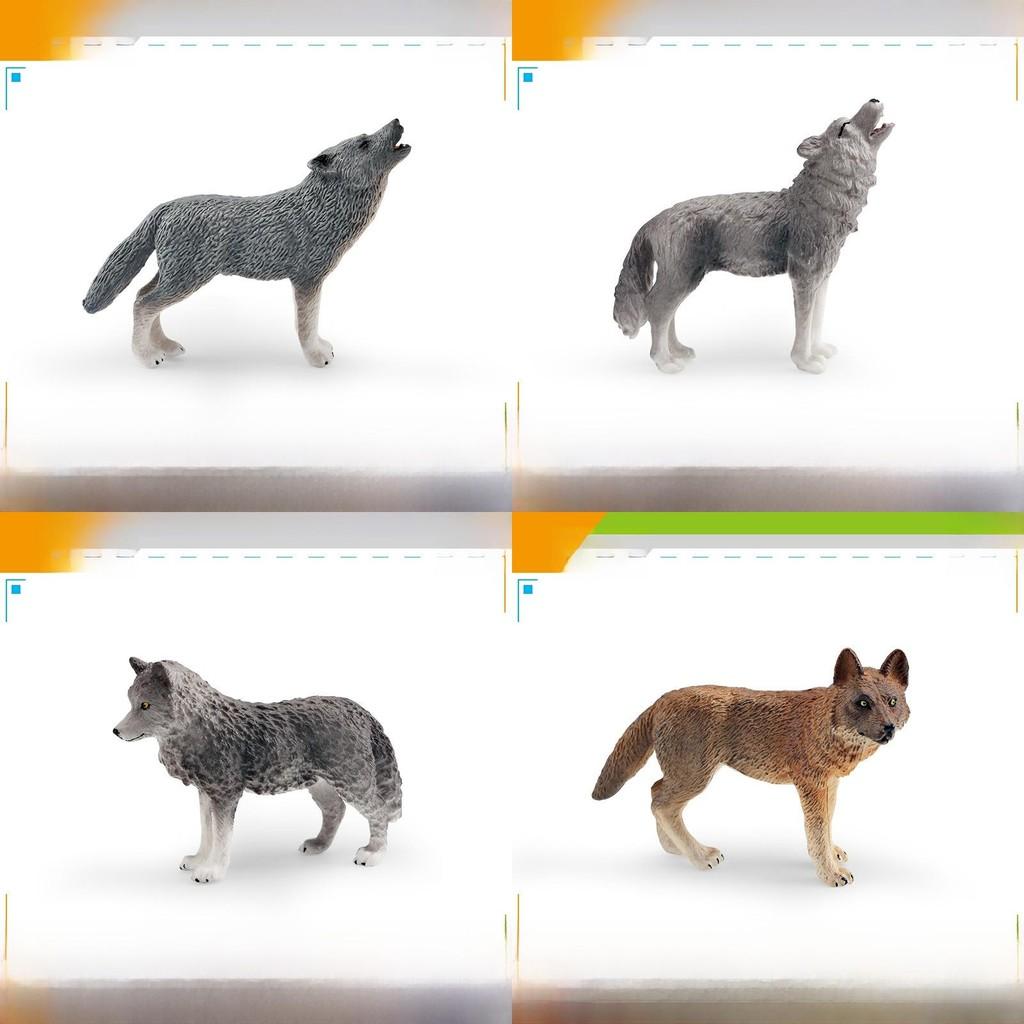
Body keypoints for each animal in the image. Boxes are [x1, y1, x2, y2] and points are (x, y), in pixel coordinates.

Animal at [83, 120, 411, 368]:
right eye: (364, 143)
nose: (396, 120)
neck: (322, 208)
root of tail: (166, 206)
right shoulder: (307, 280)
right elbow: (307, 324)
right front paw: (316, 356)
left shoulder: (309, 281)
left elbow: (309, 323)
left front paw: (320, 348)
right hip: (185, 279)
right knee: (142, 304)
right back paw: (147, 356)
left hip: (173, 276)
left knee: (143, 297)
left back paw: (165, 346)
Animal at [113, 657, 402, 883]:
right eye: (131, 702)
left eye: (145, 705)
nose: (115, 731)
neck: (203, 726)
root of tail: (359, 710)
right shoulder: (206, 794)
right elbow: (207, 833)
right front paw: (199, 859)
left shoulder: (226, 796)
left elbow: (222, 838)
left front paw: (213, 871)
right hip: (321, 784)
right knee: (336, 809)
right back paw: (319, 845)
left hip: (352, 783)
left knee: (378, 810)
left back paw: (374, 853)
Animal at [592, 648, 909, 886]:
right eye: (863, 703)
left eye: (892, 702)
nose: (889, 728)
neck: (826, 725)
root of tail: (662, 699)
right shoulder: (812, 785)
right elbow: (817, 830)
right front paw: (830, 873)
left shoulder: (830, 784)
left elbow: (827, 825)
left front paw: (832, 854)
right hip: (695, 776)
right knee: (661, 802)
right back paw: (700, 856)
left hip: (687, 776)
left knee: (656, 793)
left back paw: (673, 848)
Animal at [613, 99, 893, 374]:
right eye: (844, 126)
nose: (875, 99)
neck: (821, 199)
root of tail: (656, 218)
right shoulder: (802, 278)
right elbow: (804, 325)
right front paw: (805, 362)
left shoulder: (822, 277)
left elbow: (817, 320)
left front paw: (819, 350)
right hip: (681, 278)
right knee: (657, 310)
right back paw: (664, 362)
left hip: (686, 279)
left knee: (667, 313)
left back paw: (678, 351)